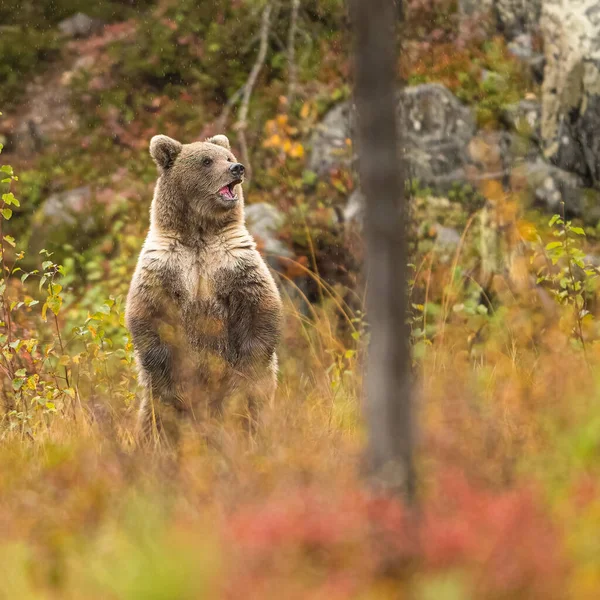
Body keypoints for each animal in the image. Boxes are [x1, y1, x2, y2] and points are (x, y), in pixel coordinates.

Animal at [125, 134, 284, 442]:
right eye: (207, 160)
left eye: (228, 155)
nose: (237, 168)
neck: (200, 234)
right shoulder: (165, 265)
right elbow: (147, 314)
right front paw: (169, 375)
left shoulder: (234, 261)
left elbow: (260, 306)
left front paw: (246, 369)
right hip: (154, 406)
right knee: (156, 419)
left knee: (251, 412)